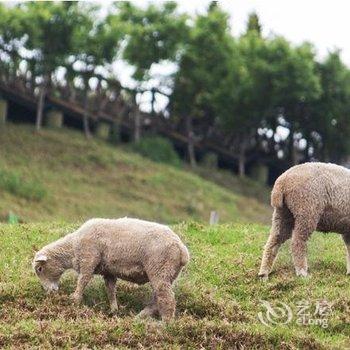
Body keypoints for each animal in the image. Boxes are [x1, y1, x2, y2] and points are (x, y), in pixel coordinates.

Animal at [32, 217, 190, 322]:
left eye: (39, 269)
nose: (49, 292)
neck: (73, 246)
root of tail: (182, 250)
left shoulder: (89, 259)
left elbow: (82, 281)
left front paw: (74, 301)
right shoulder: (108, 271)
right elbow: (110, 290)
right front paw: (114, 310)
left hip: (160, 269)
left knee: (167, 299)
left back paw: (165, 324)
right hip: (168, 274)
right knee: (157, 299)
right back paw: (139, 317)